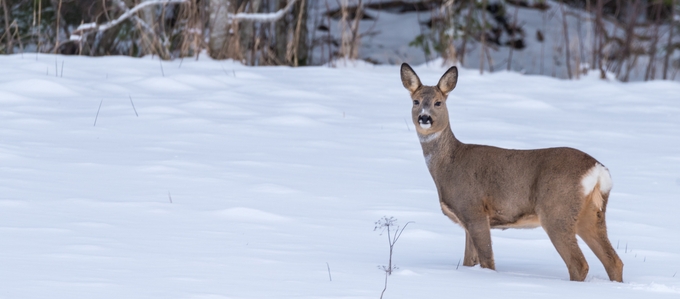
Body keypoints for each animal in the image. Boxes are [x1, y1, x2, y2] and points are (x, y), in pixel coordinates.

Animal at [402, 63, 624, 284]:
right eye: (416, 101)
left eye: (438, 102)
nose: (424, 118)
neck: (449, 164)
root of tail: (598, 170)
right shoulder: (466, 220)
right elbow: (468, 262)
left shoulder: (474, 210)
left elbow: (487, 262)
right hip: (592, 213)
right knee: (614, 261)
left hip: (557, 211)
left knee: (579, 264)